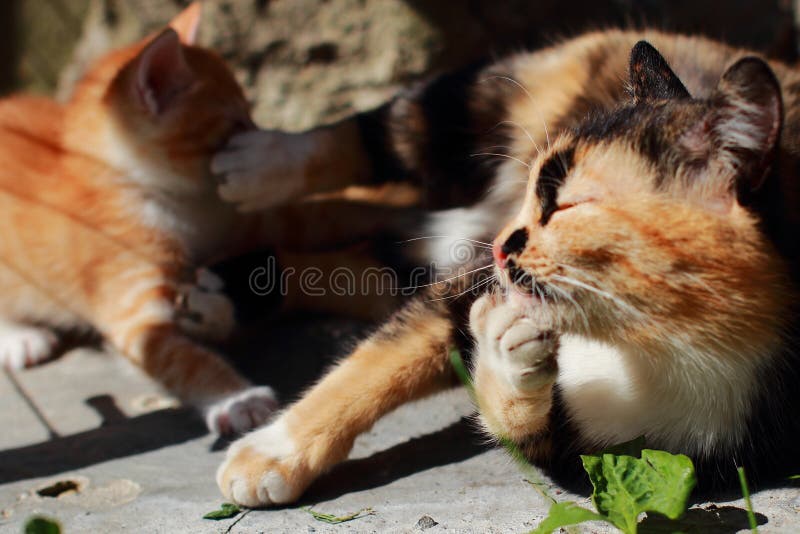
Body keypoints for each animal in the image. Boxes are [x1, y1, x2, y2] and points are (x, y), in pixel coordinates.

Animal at [0, 3, 282, 436]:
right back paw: (18, 336)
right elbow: (181, 358)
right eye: (236, 123)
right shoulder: (130, 303)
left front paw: (210, 311)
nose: (264, 135)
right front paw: (237, 399)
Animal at [214, 29, 800, 506]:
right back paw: (255, 163)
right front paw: (270, 453)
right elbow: (375, 362)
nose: (499, 246)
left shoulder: (622, 450)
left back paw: (228, 290)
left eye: (567, 205)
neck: (655, 339)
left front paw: (505, 355)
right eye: (534, 190)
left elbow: (523, 431)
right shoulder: (462, 287)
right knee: (398, 125)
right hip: (495, 99)